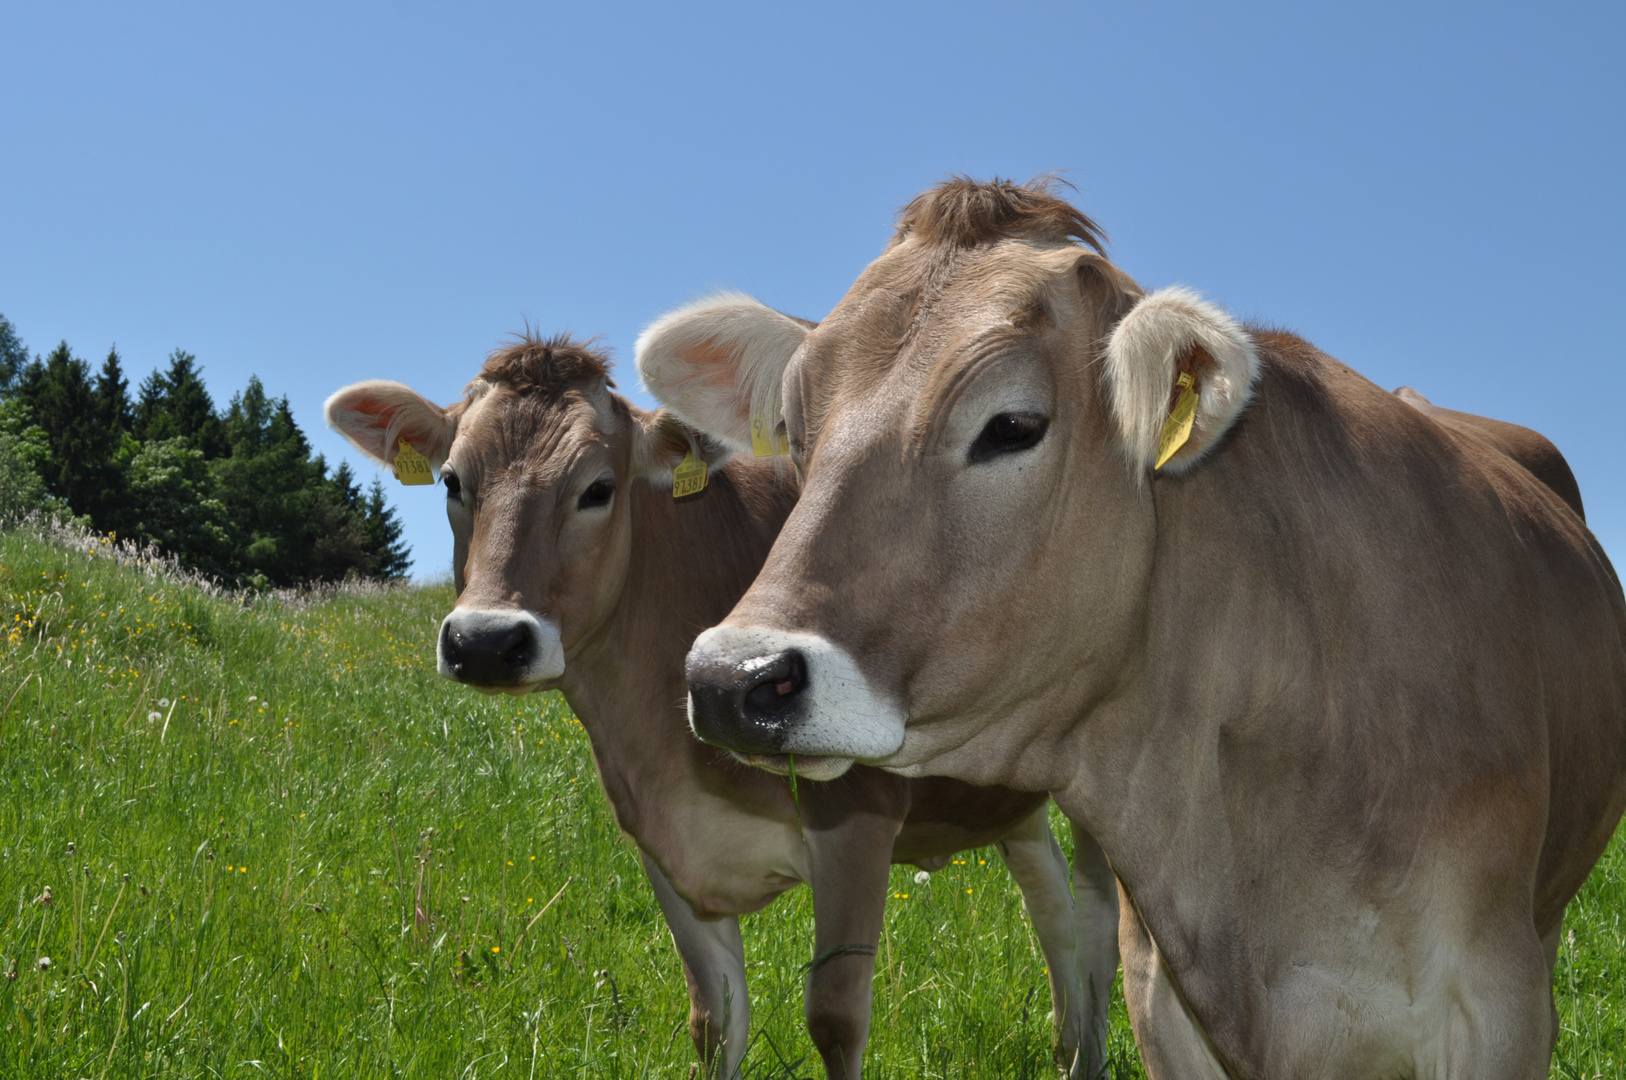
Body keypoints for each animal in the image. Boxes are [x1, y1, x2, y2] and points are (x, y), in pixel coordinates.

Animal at [325, 333, 1125, 1073]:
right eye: (453, 482)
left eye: (597, 488)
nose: (487, 642)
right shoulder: (662, 842)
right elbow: (714, 1024)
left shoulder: (857, 826)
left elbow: (835, 1021)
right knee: (1055, 911)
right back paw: (1073, 1051)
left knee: (1101, 924)